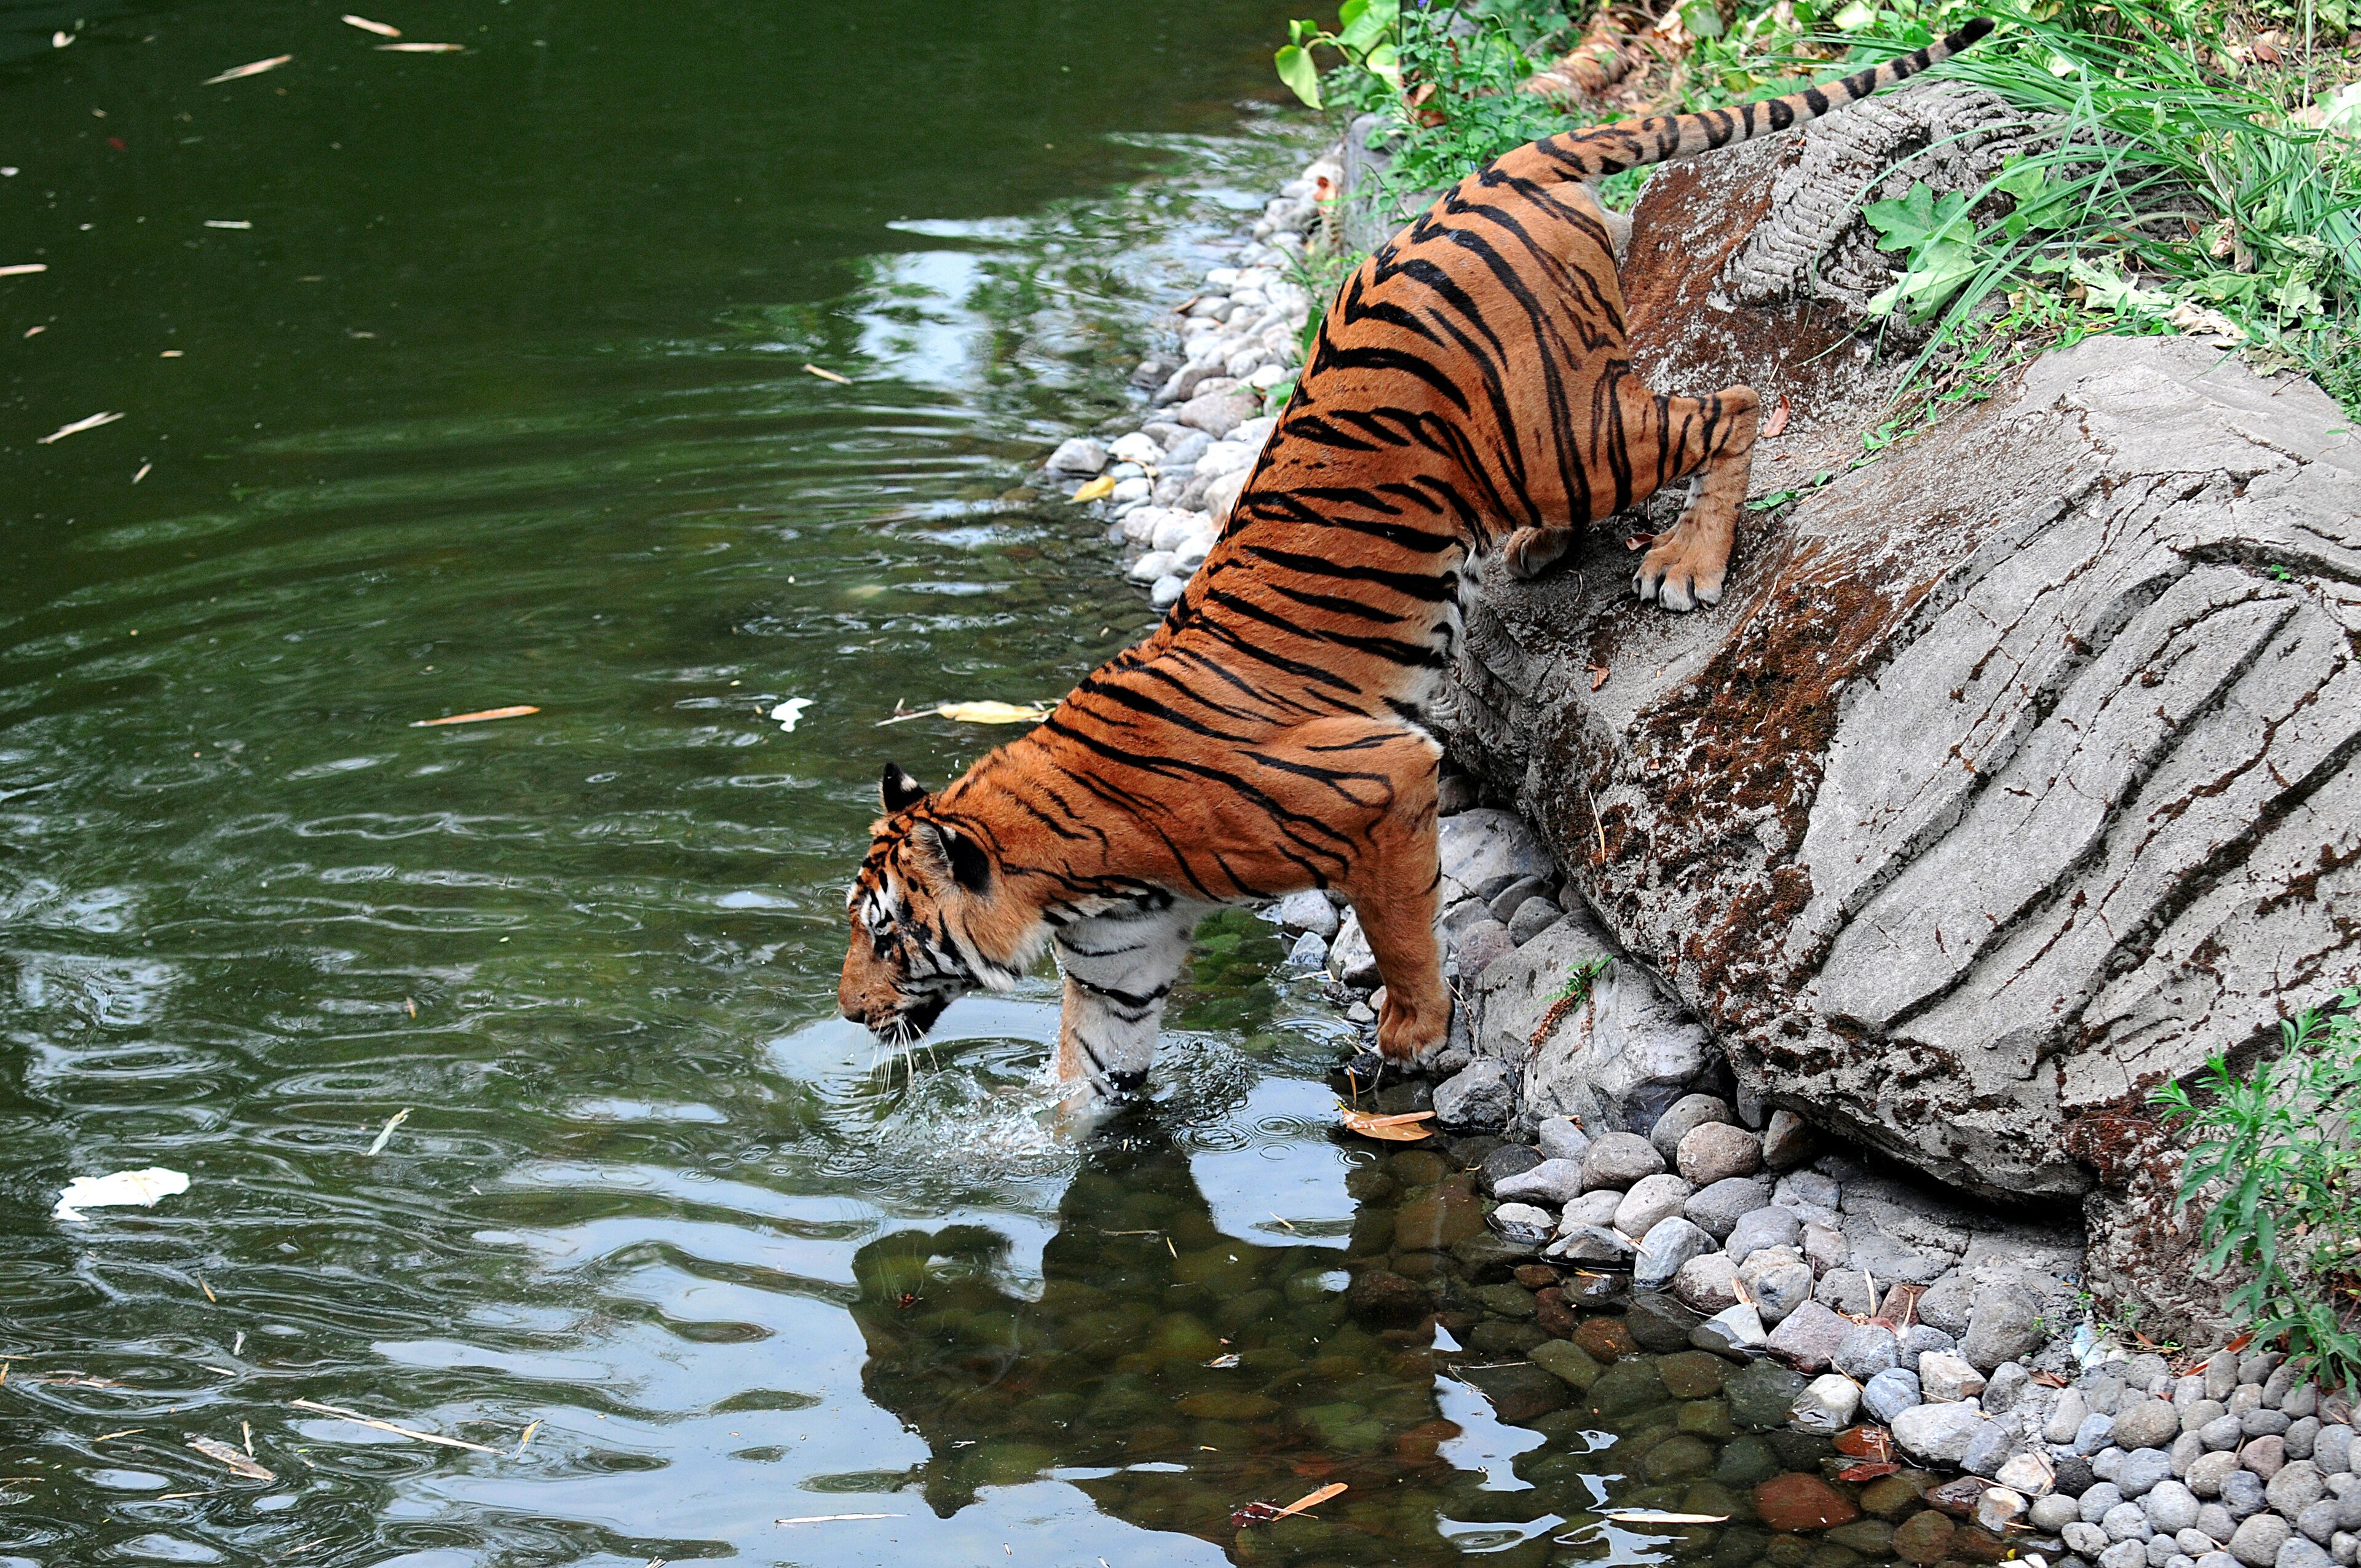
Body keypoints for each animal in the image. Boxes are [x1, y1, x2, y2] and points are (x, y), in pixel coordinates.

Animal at [839, 20, 1996, 1099]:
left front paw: (1410, 1033)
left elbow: (1397, 931)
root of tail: (1495, 171)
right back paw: (1538, 552)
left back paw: (1687, 561)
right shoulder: (1122, 961)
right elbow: (1087, 1086)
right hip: (1540, 451)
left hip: (1560, 441)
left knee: (1734, 403)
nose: (849, 1012)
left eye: (888, 935)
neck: (1072, 877)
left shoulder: (1378, 790)